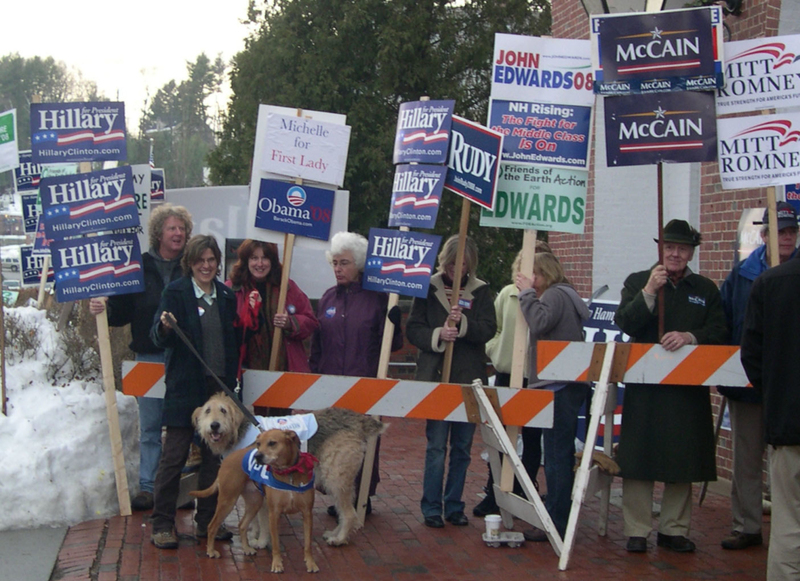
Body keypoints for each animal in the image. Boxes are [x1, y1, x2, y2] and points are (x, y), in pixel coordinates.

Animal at [191, 428, 318, 572]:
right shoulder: (274, 514)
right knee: (212, 526)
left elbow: (308, 544)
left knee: (242, 525)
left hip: (254, 503)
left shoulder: (307, 513)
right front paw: (277, 564)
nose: (257, 456)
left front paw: (311, 563)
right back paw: (211, 551)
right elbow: (275, 544)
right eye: (258, 443)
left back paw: (246, 548)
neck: (288, 472)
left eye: (272, 443)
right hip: (227, 501)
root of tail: (228, 458)